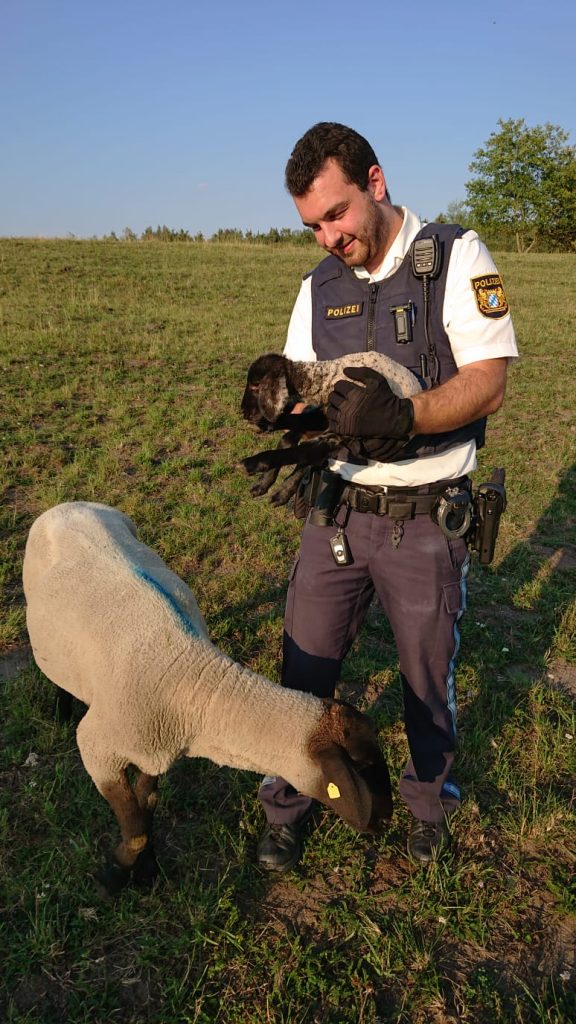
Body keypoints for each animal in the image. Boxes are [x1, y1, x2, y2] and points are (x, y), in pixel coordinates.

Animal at [22, 499, 389, 892]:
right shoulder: (98, 749)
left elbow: (147, 806)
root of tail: (72, 504)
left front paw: (146, 870)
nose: (383, 822)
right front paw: (114, 875)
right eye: (361, 767)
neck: (192, 680)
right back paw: (61, 711)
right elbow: (135, 828)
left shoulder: (156, 750)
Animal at [237, 354, 422, 505]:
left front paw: (253, 464)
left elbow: (303, 451)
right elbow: (293, 432)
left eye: (255, 386)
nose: (243, 412)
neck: (324, 380)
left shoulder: (341, 430)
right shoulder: (324, 418)